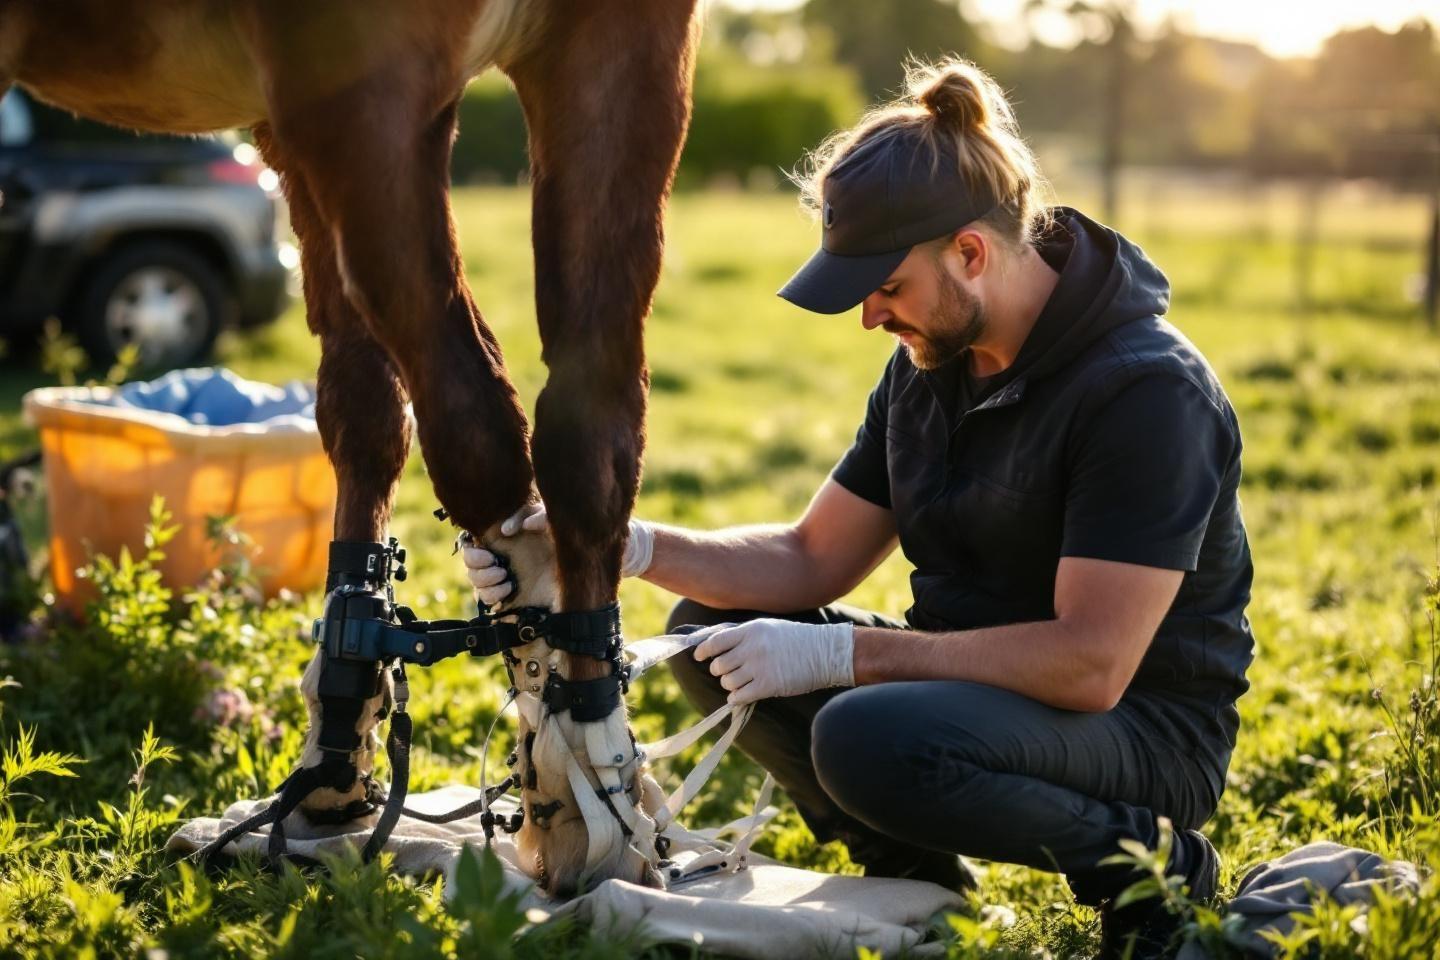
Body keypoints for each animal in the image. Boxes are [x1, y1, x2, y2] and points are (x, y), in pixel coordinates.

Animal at [0, 0, 701, 894]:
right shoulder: (285, 132)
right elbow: (363, 412)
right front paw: (335, 765)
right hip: (609, 67)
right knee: (584, 439)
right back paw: (594, 782)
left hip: (366, 96)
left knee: (477, 424)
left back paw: (564, 781)